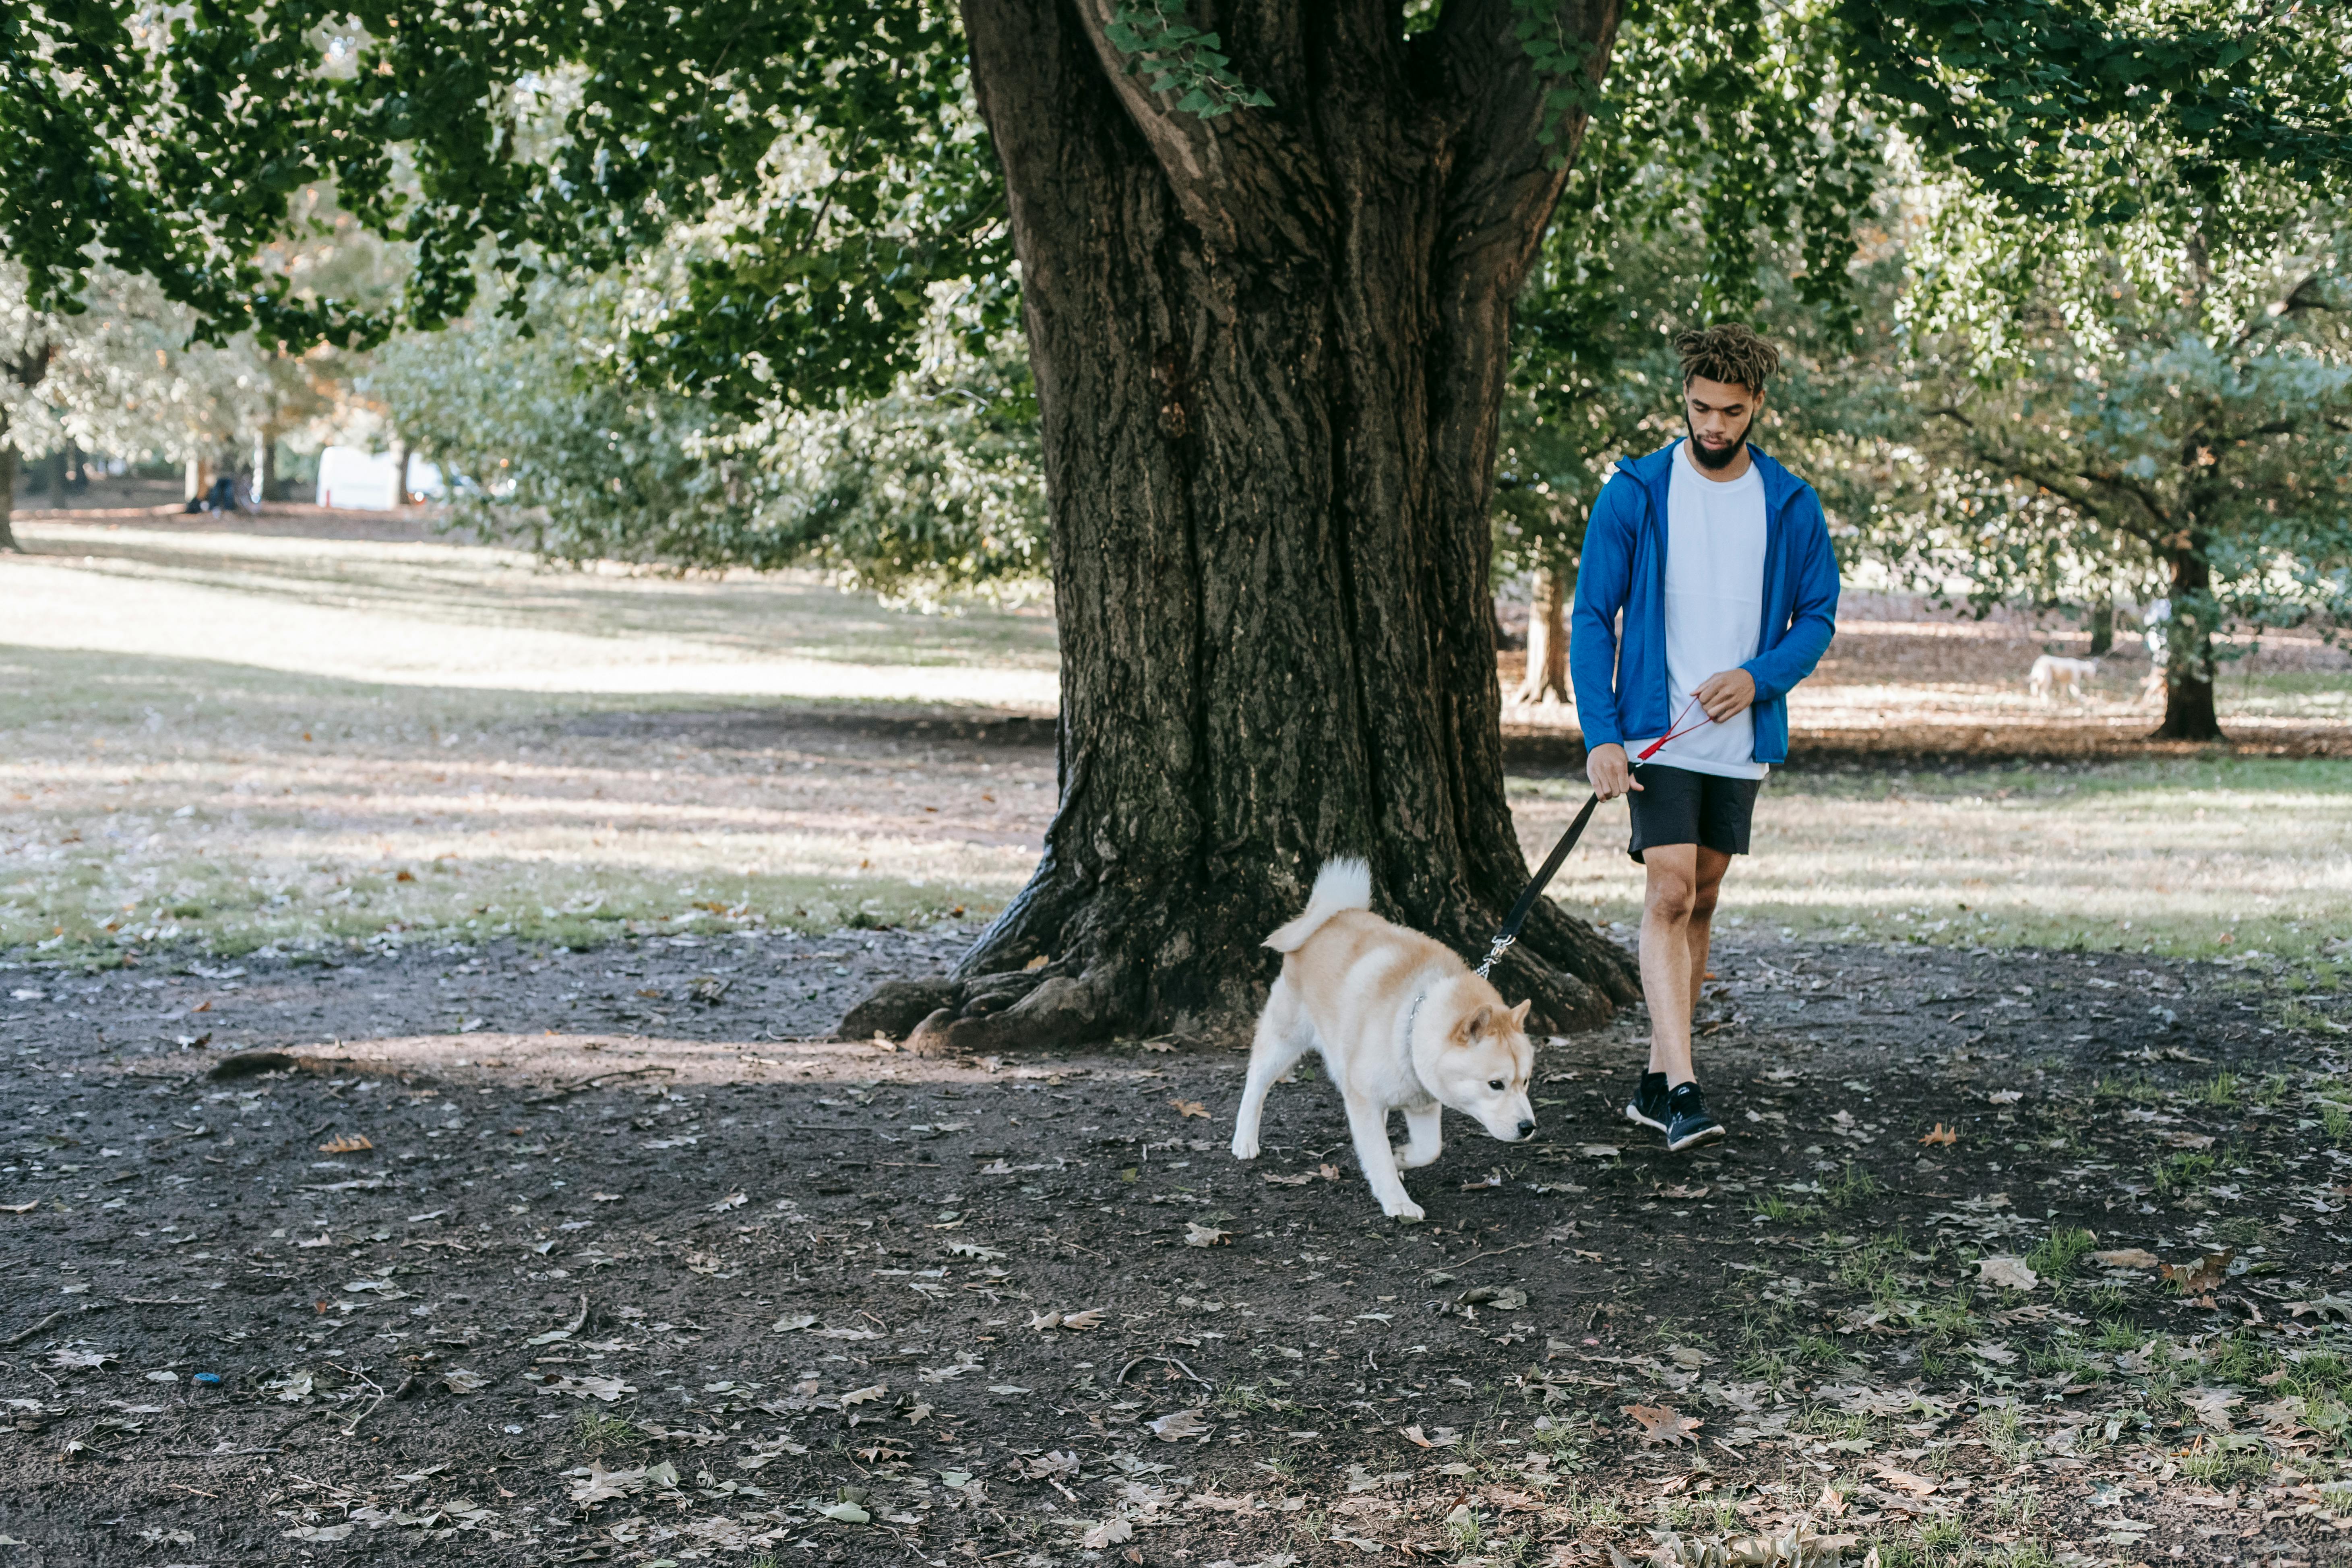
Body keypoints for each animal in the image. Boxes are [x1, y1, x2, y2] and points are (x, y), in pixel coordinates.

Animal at [1232, 860, 1543, 1222]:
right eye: (1496, 1084)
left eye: (1526, 1082)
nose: (1528, 1127)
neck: (1412, 1021)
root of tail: (1330, 916)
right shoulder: (1364, 1098)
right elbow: (1379, 1152)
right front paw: (1397, 1200)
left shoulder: (1422, 1103)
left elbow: (1429, 1149)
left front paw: (1401, 1158)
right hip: (1286, 1039)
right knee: (1256, 1083)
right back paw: (1245, 1138)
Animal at [2023, 653, 2098, 700]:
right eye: (2094, 672)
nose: (2094, 677)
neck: (2081, 665)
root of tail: (2038, 662)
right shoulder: (2075, 671)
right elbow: (2074, 685)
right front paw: (2081, 696)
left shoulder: (2066, 677)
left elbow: (2064, 685)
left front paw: (2063, 696)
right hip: (2046, 669)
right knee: (2044, 682)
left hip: (2039, 670)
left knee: (2037, 680)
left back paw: (2034, 694)